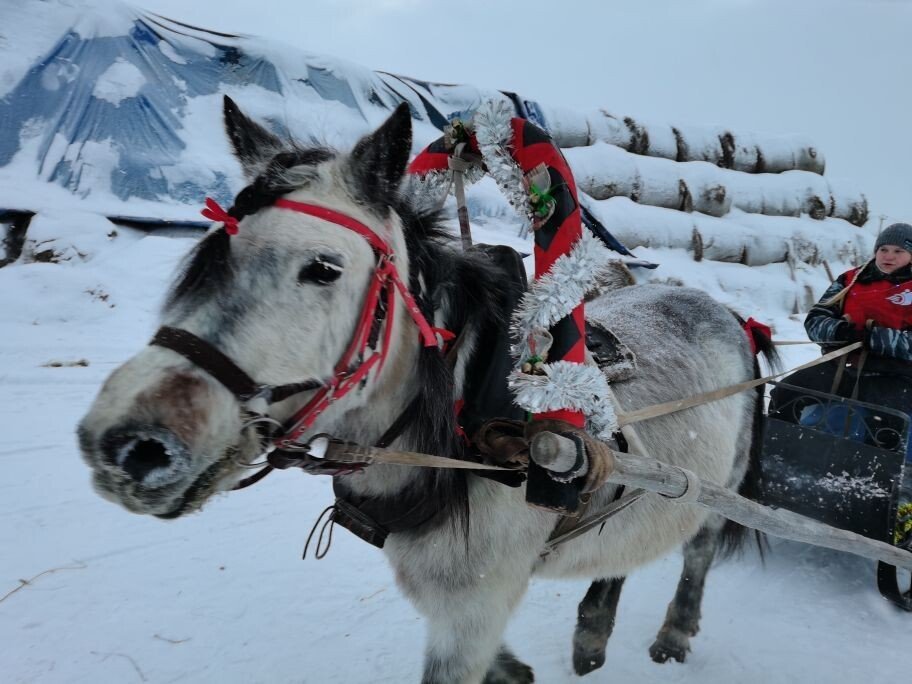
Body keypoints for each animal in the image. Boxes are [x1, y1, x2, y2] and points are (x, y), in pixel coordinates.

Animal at [76, 97, 776, 684]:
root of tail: (731, 313)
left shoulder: (473, 606)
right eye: (207, 255)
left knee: (699, 550)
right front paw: (518, 672)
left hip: (720, 488)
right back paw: (594, 632)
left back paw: (674, 633)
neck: (474, 427)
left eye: (324, 268)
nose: (128, 445)